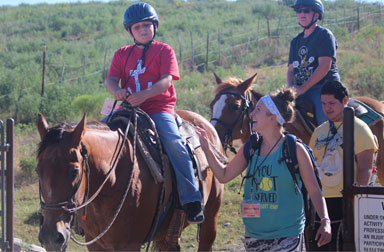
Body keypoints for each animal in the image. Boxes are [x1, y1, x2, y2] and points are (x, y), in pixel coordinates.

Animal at [36, 110, 225, 252]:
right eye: (38, 171)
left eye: (75, 171)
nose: (51, 237)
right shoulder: (95, 244)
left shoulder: (129, 245)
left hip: (211, 218)